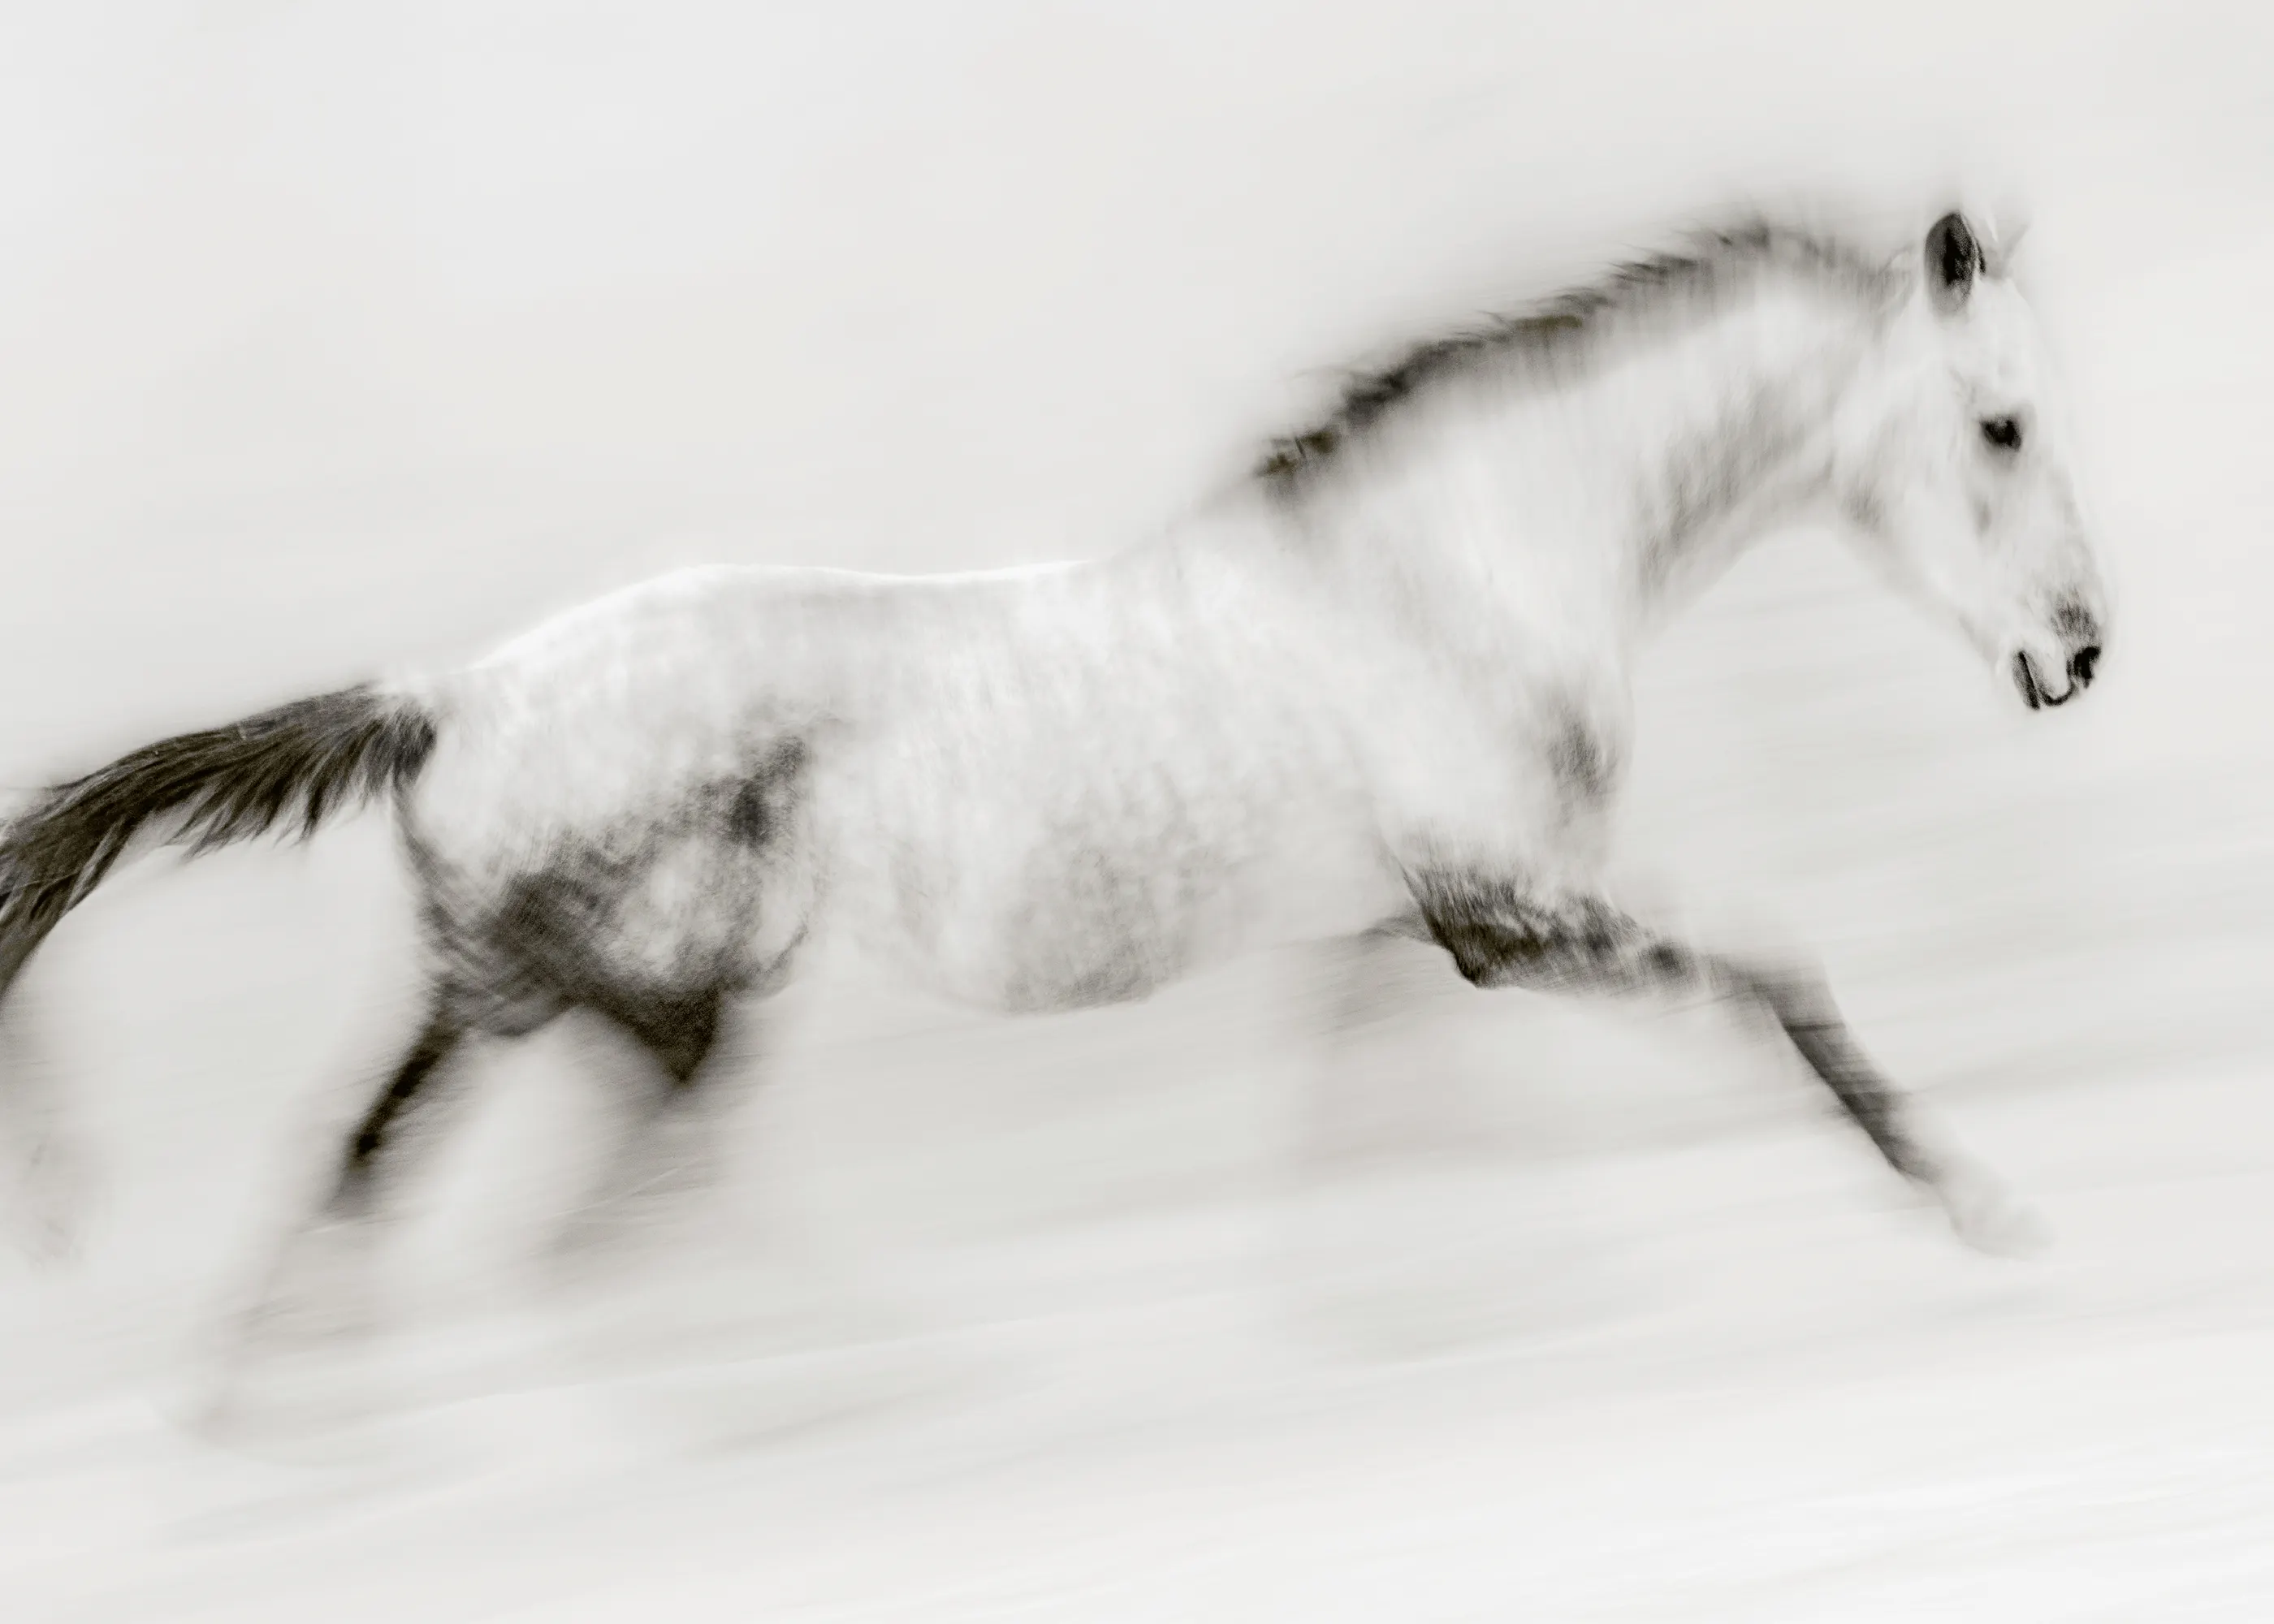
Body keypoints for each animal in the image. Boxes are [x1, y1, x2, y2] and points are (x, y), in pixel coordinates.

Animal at [0, 207, 2108, 1351]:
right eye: (2001, 423)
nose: (2078, 652)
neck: (1448, 569)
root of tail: (448, 697)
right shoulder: (1508, 909)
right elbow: (1779, 980)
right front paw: (1982, 1205)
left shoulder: (1403, 926)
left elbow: (1360, 1112)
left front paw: (1399, 1317)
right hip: (637, 1003)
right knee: (535, 1228)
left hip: (565, 1006)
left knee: (390, 1180)